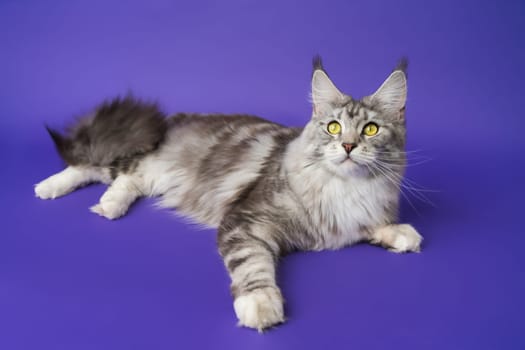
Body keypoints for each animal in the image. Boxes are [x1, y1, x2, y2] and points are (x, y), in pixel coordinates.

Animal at [34, 56, 422, 330]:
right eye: (333, 127)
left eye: (370, 129)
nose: (348, 146)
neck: (345, 187)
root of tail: (170, 122)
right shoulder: (246, 221)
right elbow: (253, 265)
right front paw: (260, 304)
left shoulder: (355, 217)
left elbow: (373, 225)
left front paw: (400, 234)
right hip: (138, 157)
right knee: (94, 166)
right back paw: (50, 188)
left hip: (152, 176)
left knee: (127, 179)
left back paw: (109, 204)